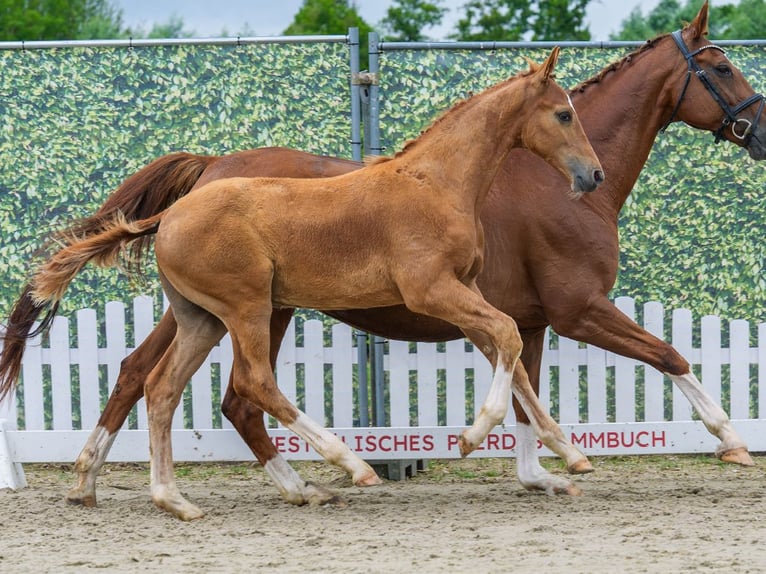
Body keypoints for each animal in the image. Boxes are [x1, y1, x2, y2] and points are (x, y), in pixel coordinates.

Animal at [1, 1, 762, 510]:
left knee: (158, 379)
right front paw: (728, 438)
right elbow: (667, 355)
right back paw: (335, 469)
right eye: (722, 66)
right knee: (233, 388)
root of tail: (203, 176)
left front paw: (549, 466)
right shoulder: (570, 308)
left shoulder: (521, 313)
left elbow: (522, 381)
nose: (757, 130)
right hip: (252, 310)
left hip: (217, 312)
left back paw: (139, 484)